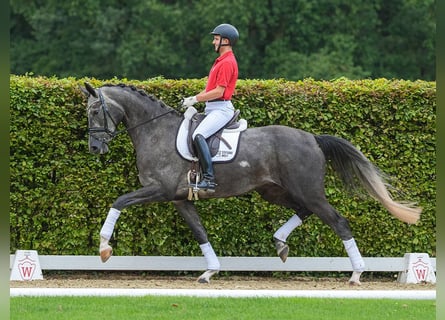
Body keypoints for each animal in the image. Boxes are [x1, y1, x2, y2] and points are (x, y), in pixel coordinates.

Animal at [82, 82, 420, 284]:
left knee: (338, 221)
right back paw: (280, 244)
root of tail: (312, 137)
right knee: (304, 212)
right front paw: (209, 271)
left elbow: (118, 201)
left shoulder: (159, 190)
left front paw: (104, 248)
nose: (95, 148)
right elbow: (200, 232)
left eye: (96, 111)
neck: (156, 131)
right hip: (275, 191)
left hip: (308, 191)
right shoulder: (180, 199)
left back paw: (356, 274)